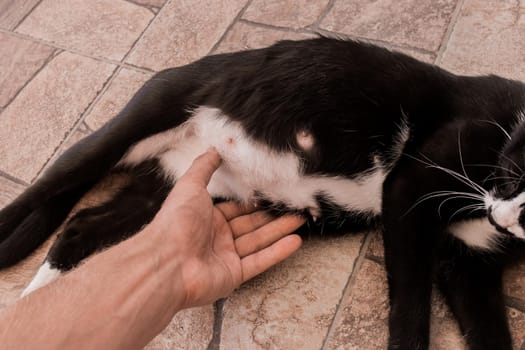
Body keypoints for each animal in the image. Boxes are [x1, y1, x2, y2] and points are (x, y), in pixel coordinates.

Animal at [1, 37, 524, 348]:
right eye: (514, 178)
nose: (502, 217)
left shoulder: (468, 262)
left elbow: (488, 327)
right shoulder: (408, 190)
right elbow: (412, 304)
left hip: (167, 193)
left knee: (81, 226)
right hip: (139, 118)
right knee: (44, 189)